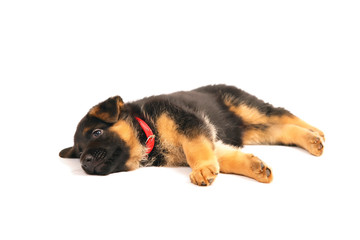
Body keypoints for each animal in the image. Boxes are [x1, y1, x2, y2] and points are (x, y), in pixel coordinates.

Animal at [59, 84, 324, 186]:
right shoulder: (209, 137)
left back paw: (317, 133)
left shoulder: (189, 123)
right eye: (79, 151)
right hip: (253, 131)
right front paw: (254, 167)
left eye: (97, 132)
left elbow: (195, 150)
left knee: (283, 114)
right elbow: (223, 158)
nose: (84, 162)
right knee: (282, 130)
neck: (148, 130)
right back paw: (311, 140)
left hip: (247, 107)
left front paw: (202, 170)